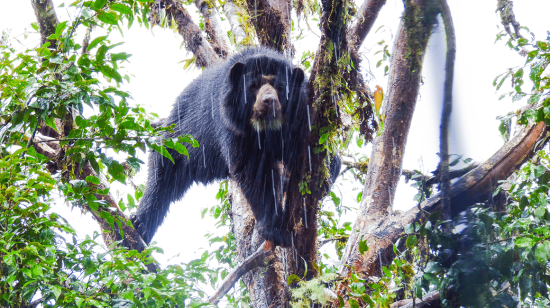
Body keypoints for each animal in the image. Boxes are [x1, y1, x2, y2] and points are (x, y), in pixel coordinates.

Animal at [134, 47, 340, 248]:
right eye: (253, 86)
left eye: (281, 88)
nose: (269, 101)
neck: (266, 130)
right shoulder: (233, 128)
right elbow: (253, 172)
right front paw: (275, 230)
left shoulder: (300, 118)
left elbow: (316, 151)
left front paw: (322, 182)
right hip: (179, 140)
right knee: (162, 180)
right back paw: (139, 225)